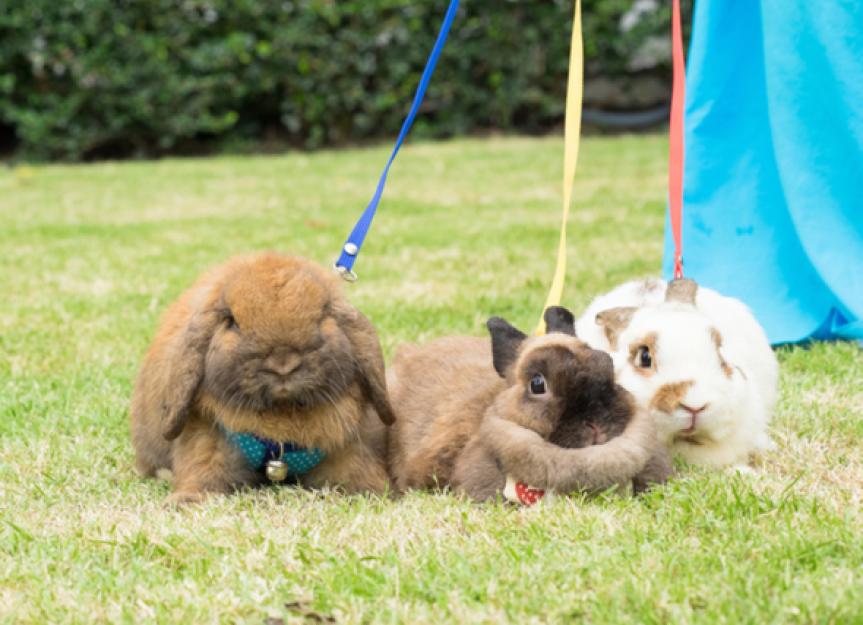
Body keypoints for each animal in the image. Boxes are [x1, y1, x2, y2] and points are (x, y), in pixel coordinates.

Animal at [131, 250, 394, 502]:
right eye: (232, 322)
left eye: (322, 316)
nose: (283, 363)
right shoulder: (206, 438)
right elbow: (202, 471)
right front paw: (185, 500)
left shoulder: (346, 446)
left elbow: (356, 471)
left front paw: (371, 492)